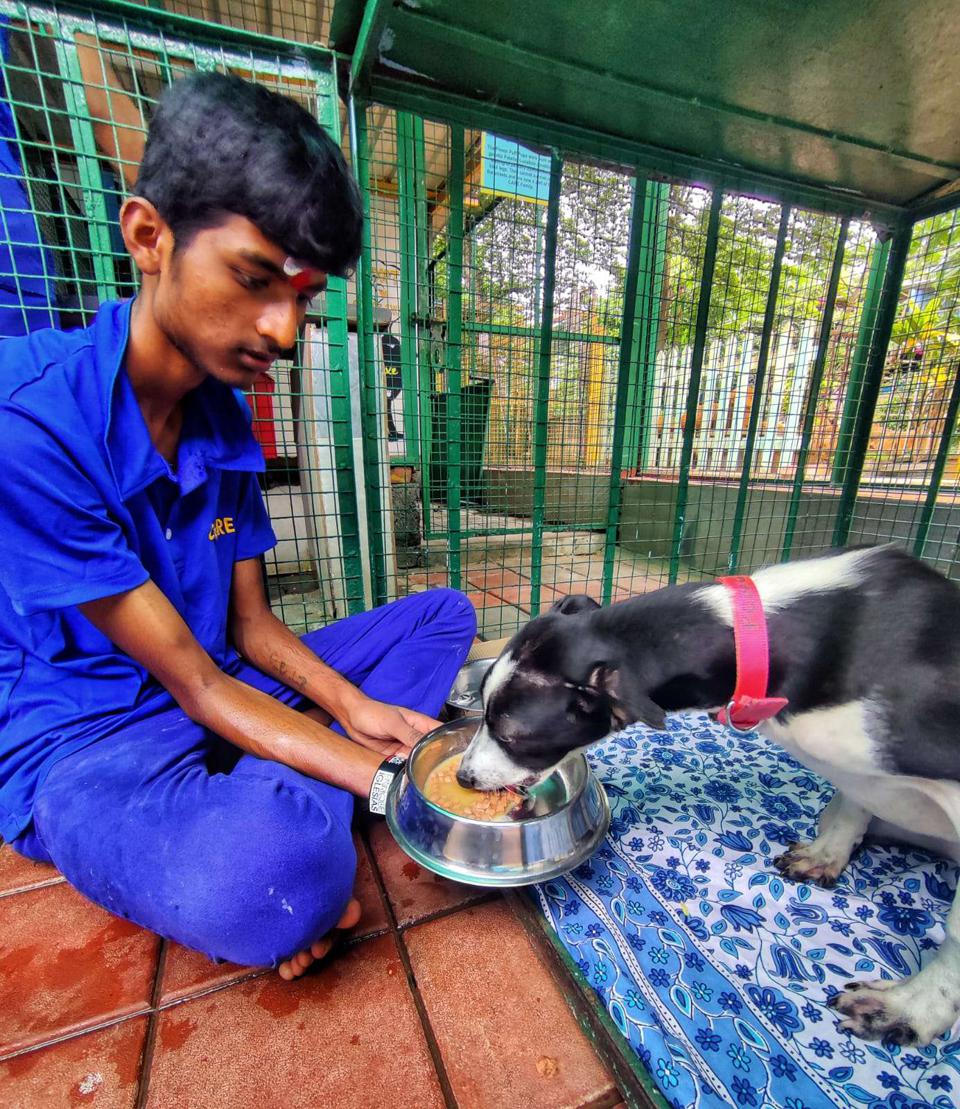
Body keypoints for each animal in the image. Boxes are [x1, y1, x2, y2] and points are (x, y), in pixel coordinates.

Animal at [454, 550, 957, 1042]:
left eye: (512, 736)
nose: (463, 777)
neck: (759, 639)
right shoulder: (855, 771)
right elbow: (855, 804)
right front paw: (826, 855)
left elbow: (951, 931)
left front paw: (911, 1007)